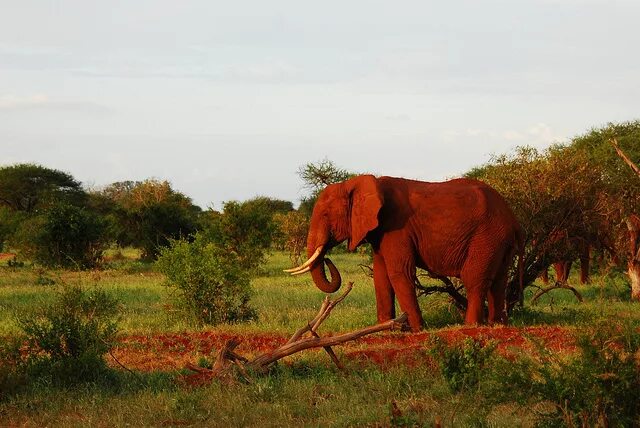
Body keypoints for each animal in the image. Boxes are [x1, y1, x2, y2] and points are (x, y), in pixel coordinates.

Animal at [286, 174, 524, 332]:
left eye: (326, 215)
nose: (327, 257)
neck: (358, 183)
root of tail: (513, 218)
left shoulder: (397, 227)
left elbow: (399, 272)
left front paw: (418, 330)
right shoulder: (380, 231)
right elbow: (381, 275)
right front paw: (384, 328)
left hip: (487, 236)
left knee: (474, 278)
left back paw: (471, 326)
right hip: (499, 241)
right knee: (499, 281)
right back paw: (498, 325)